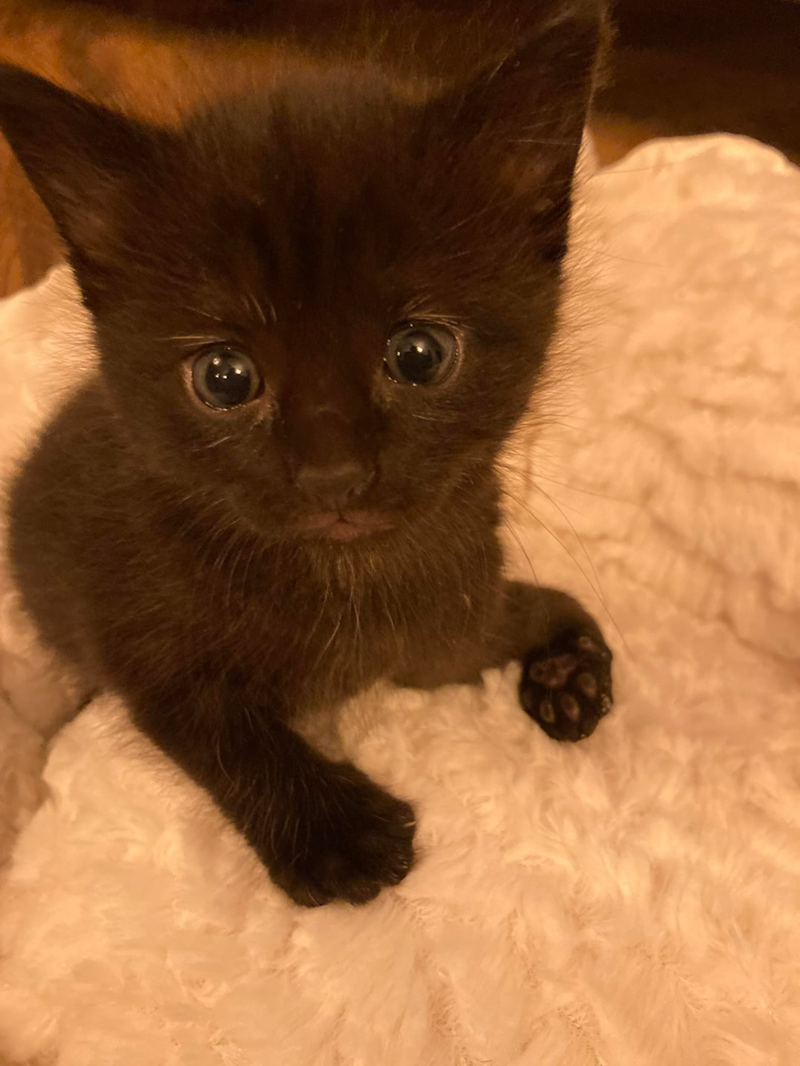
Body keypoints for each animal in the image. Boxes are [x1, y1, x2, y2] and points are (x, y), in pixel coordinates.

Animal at [0, 0, 612, 906]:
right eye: (223, 377)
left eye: (421, 354)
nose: (334, 476)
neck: (351, 582)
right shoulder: (129, 629)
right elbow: (219, 729)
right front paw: (339, 835)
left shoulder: (443, 632)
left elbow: (492, 624)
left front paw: (568, 662)